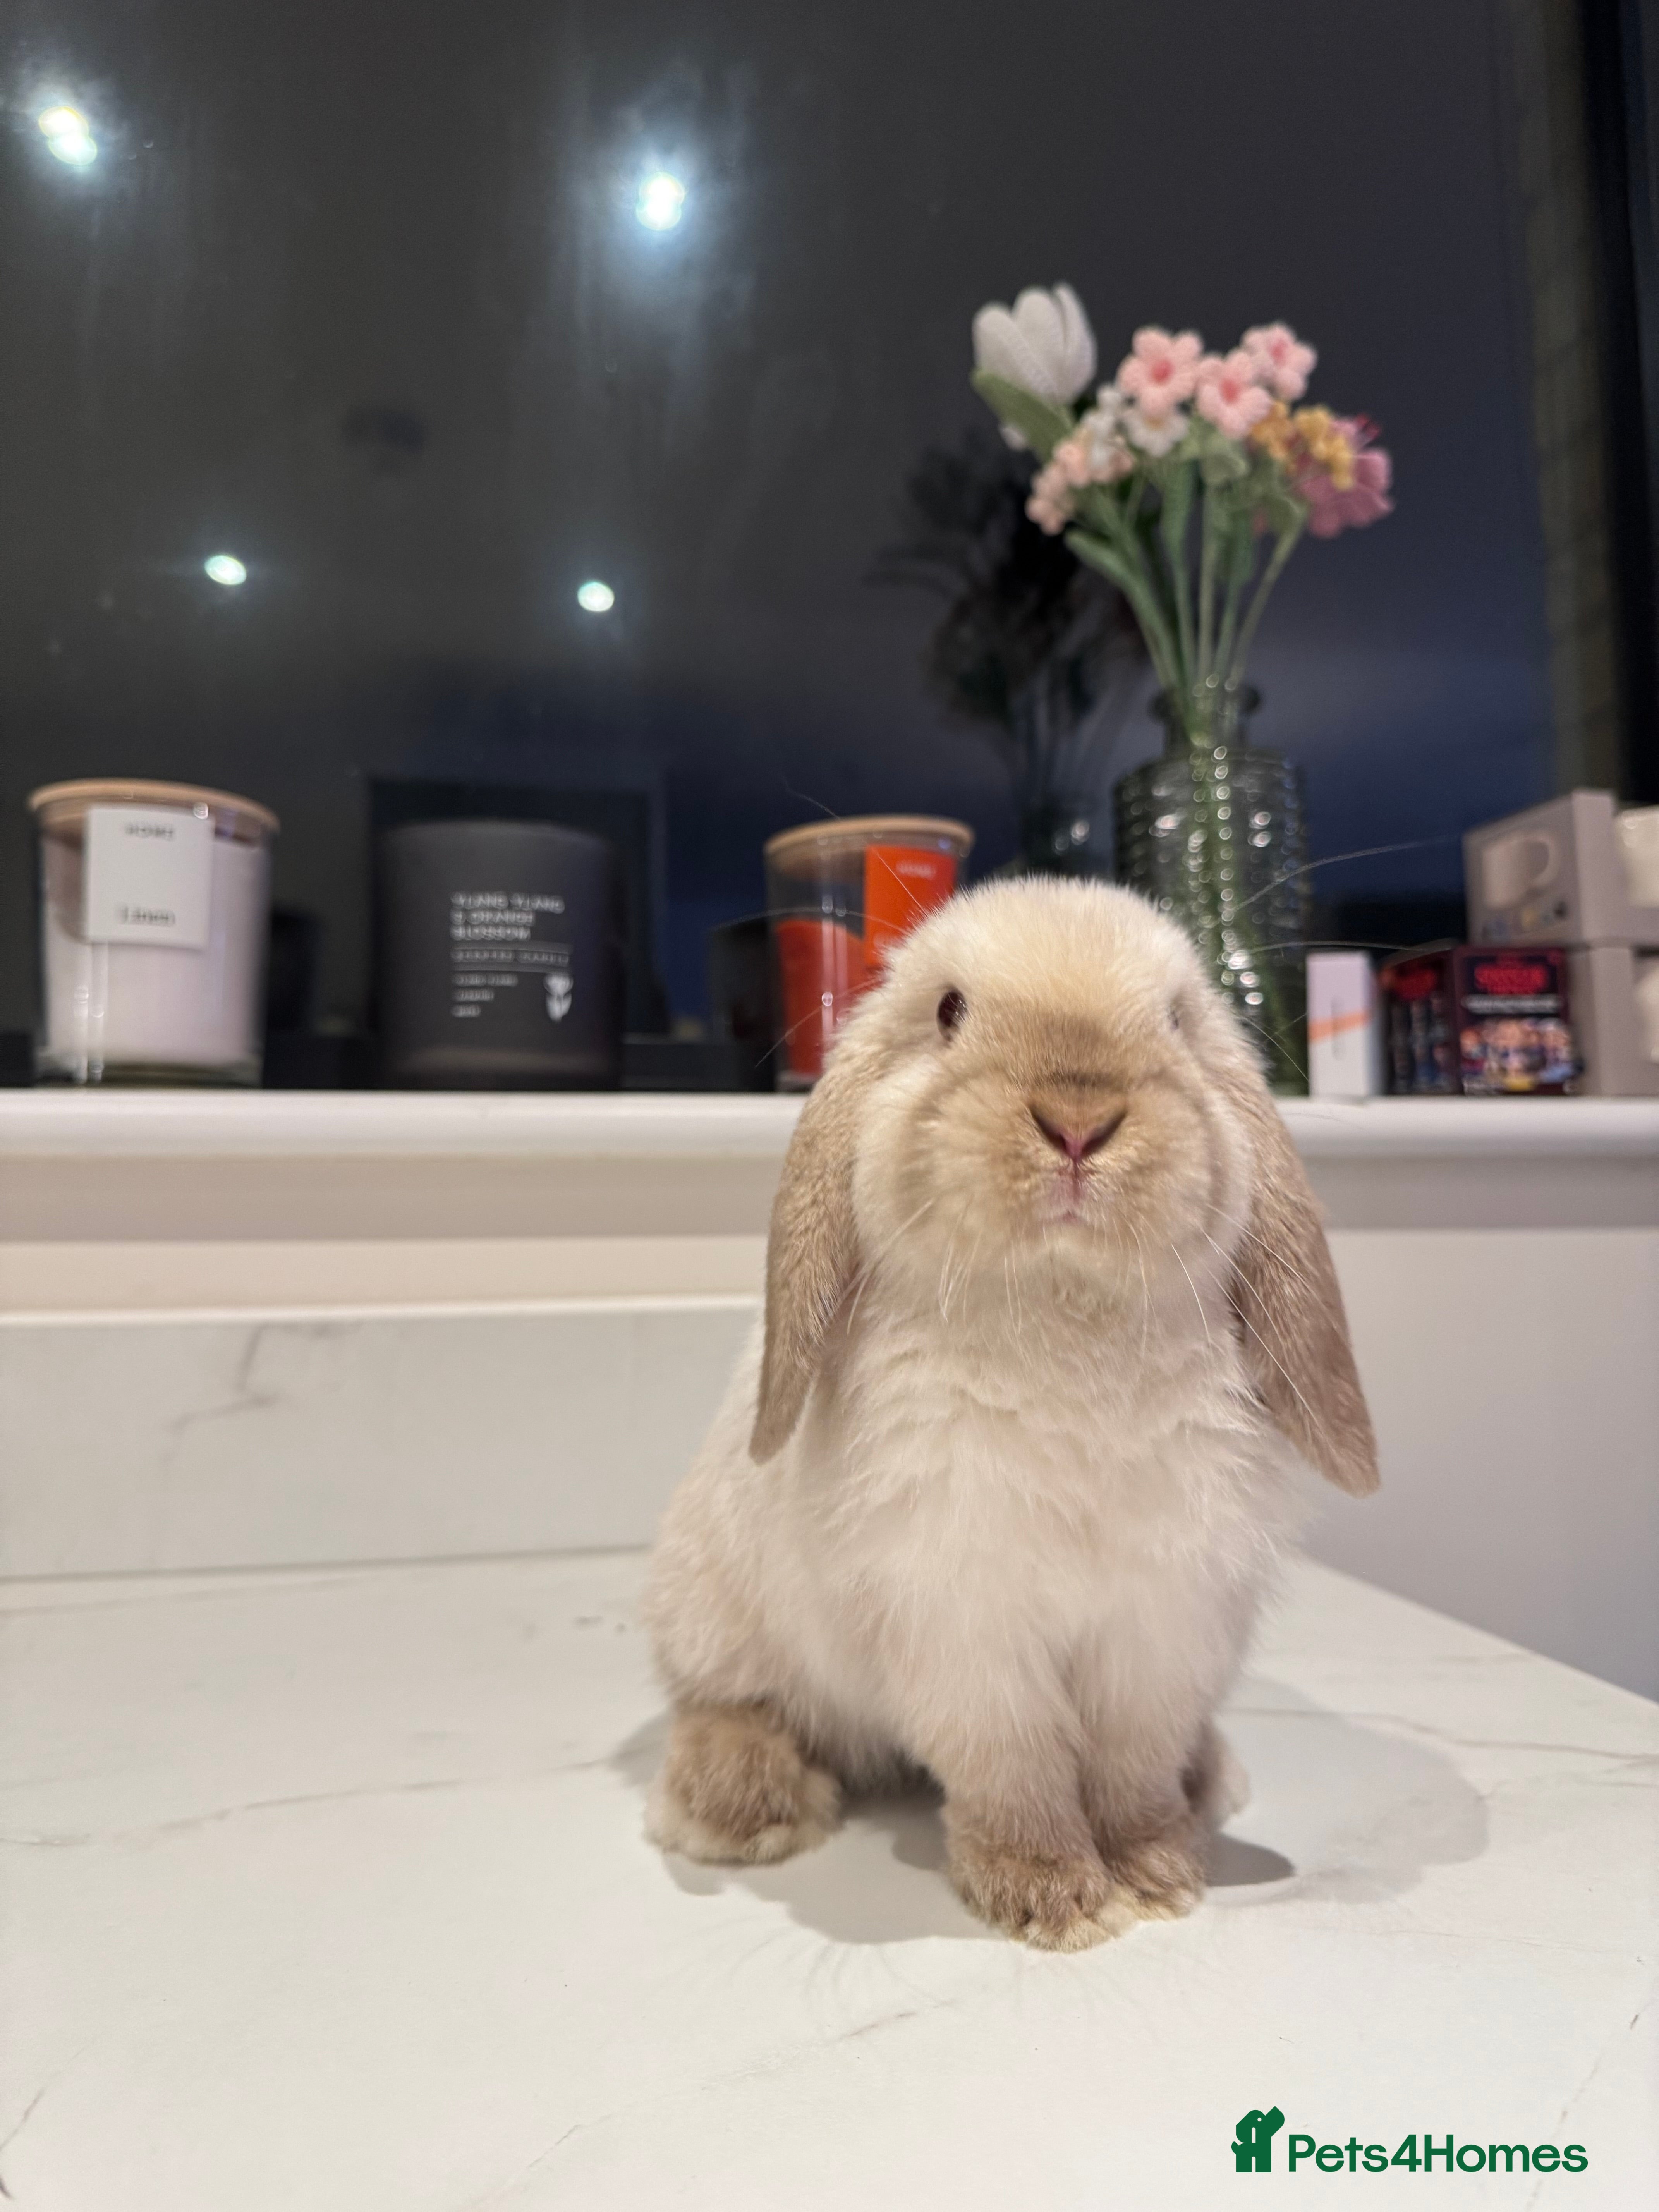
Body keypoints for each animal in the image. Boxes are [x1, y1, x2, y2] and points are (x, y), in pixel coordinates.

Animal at [644, 878, 1377, 1951]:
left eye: (1176, 1021)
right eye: (950, 1011)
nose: (1079, 1117)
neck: (1065, 1317)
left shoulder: (1161, 1631)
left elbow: (1132, 1771)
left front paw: (1157, 1874)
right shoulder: (967, 1631)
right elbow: (1015, 1770)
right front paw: (1052, 1899)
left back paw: (1209, 1781)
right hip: (713, 1612)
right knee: (728, 1701)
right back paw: (739, 1805)